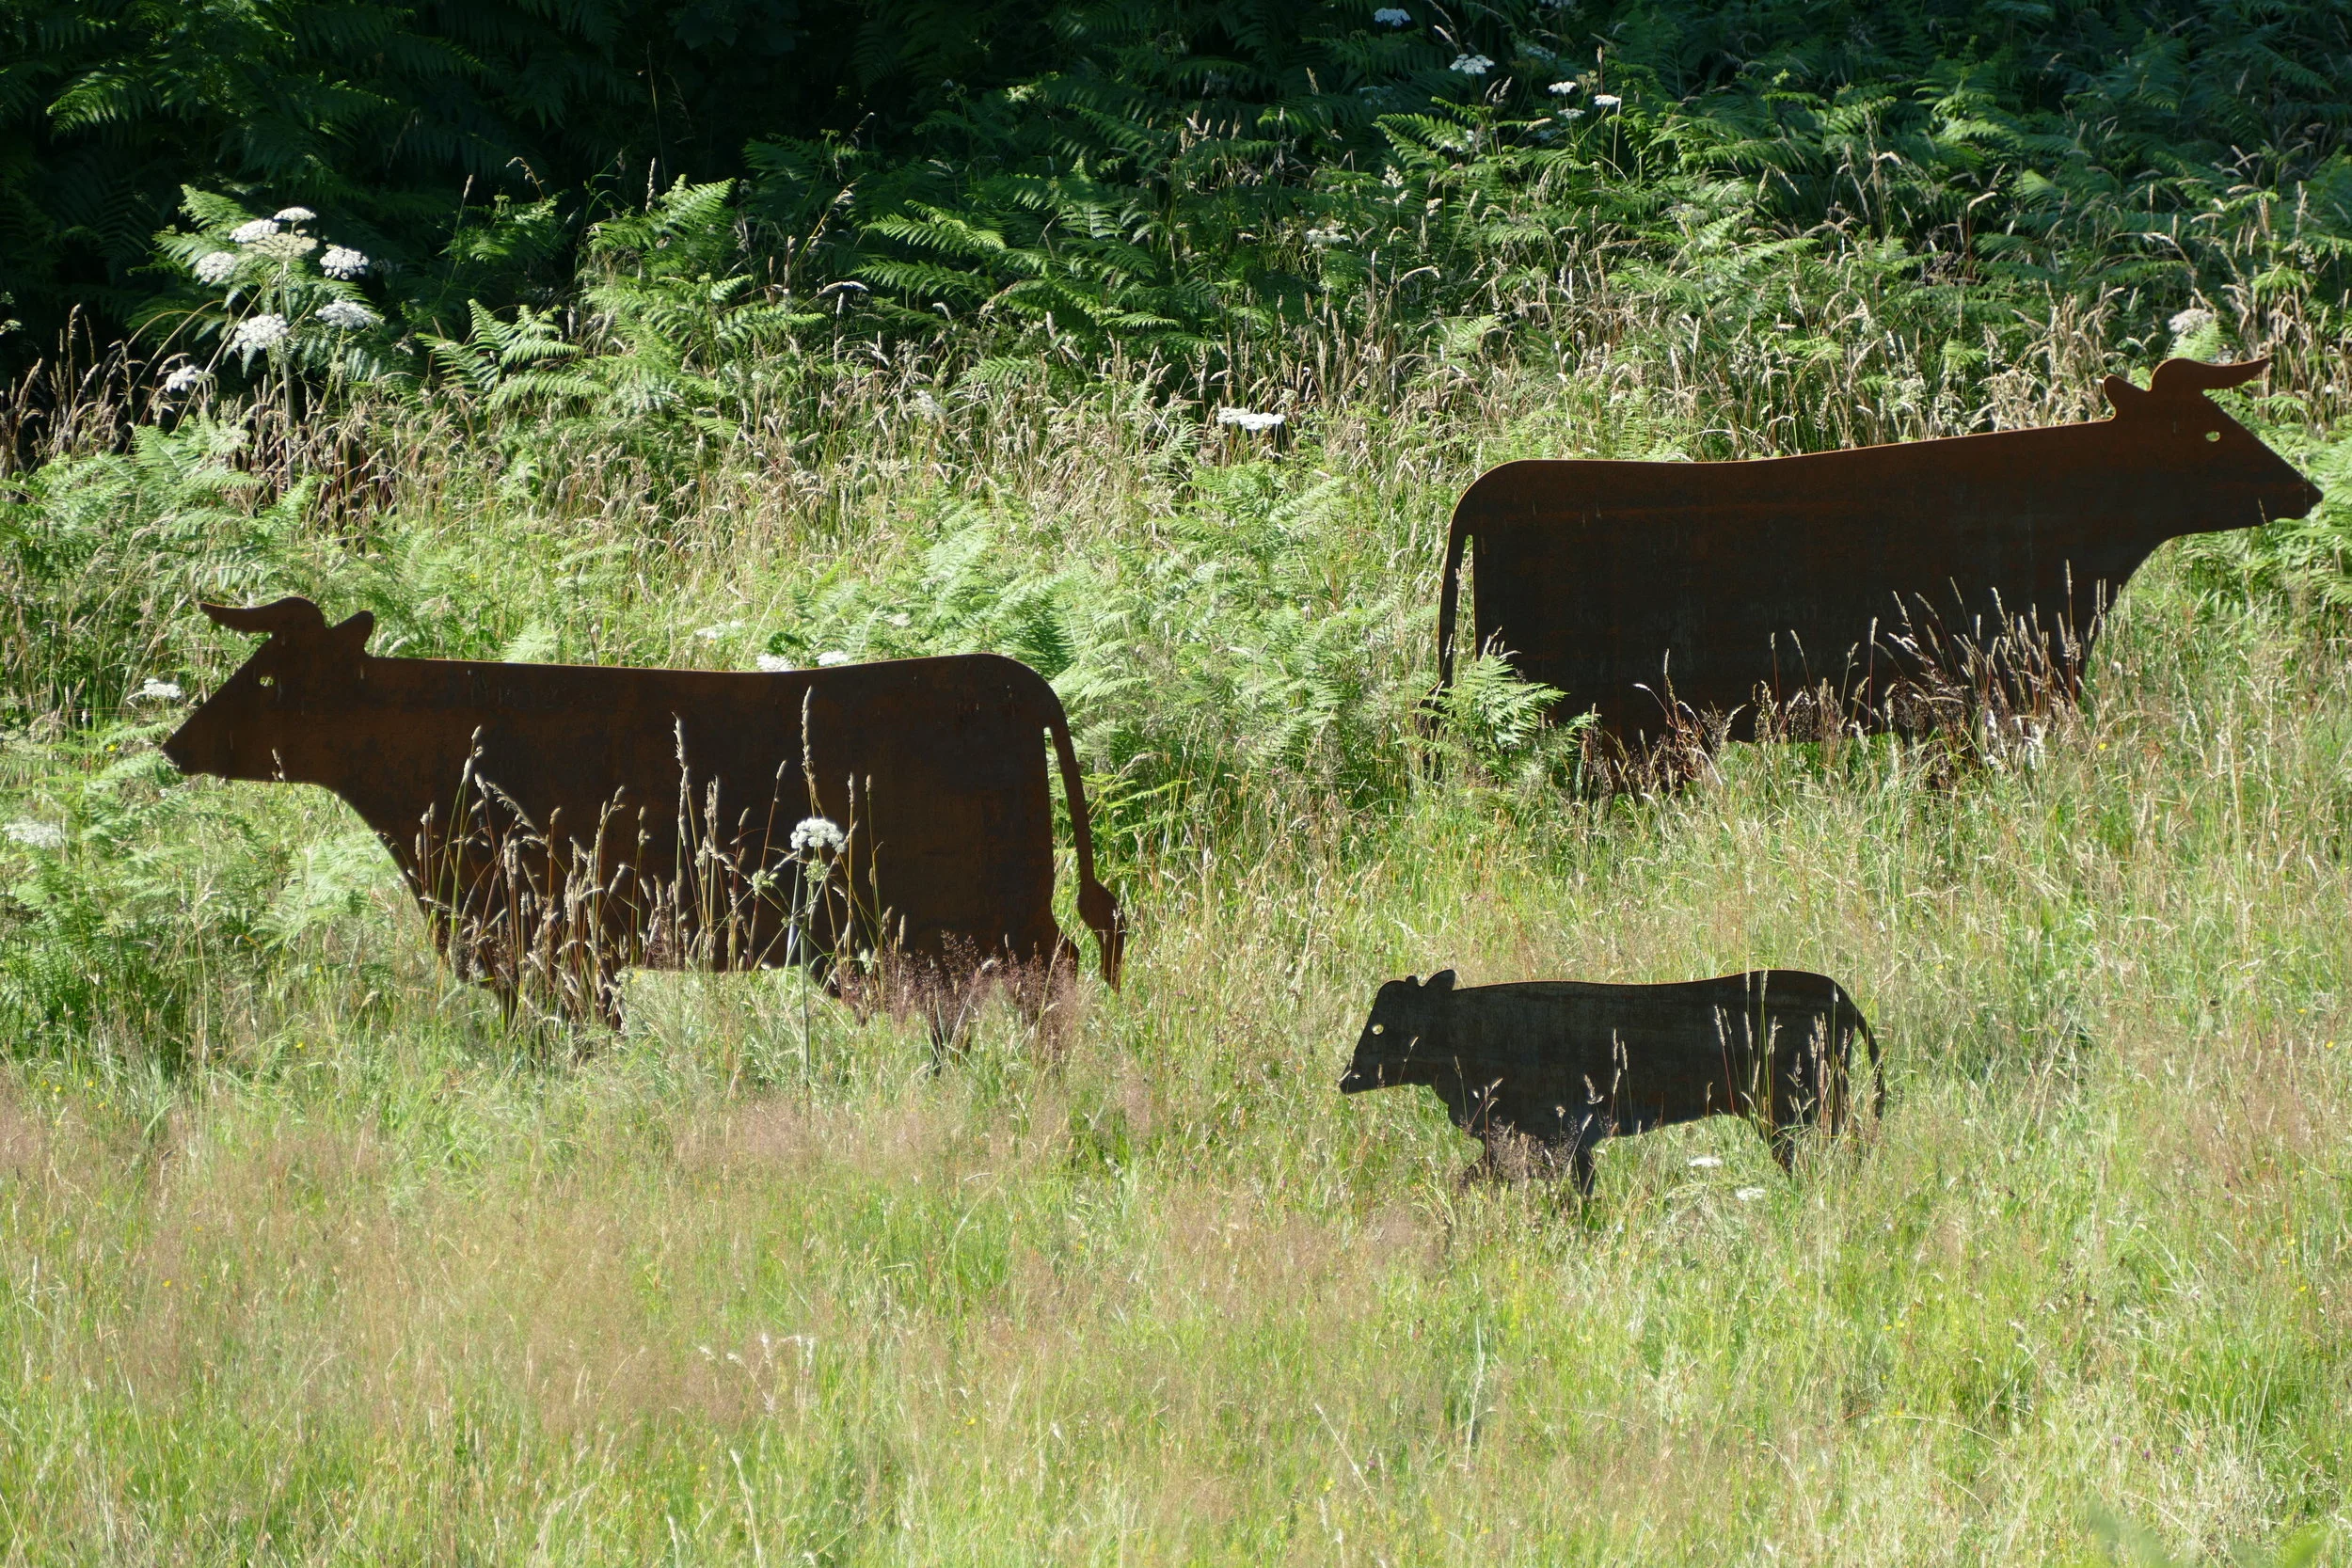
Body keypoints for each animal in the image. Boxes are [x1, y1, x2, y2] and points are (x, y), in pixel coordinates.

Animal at [162, 597, 1126, 1026]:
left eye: (269, 679)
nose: (176, 744)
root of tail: (1012, 675)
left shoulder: (554, 940)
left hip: (988, 911)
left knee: (1054, 978)